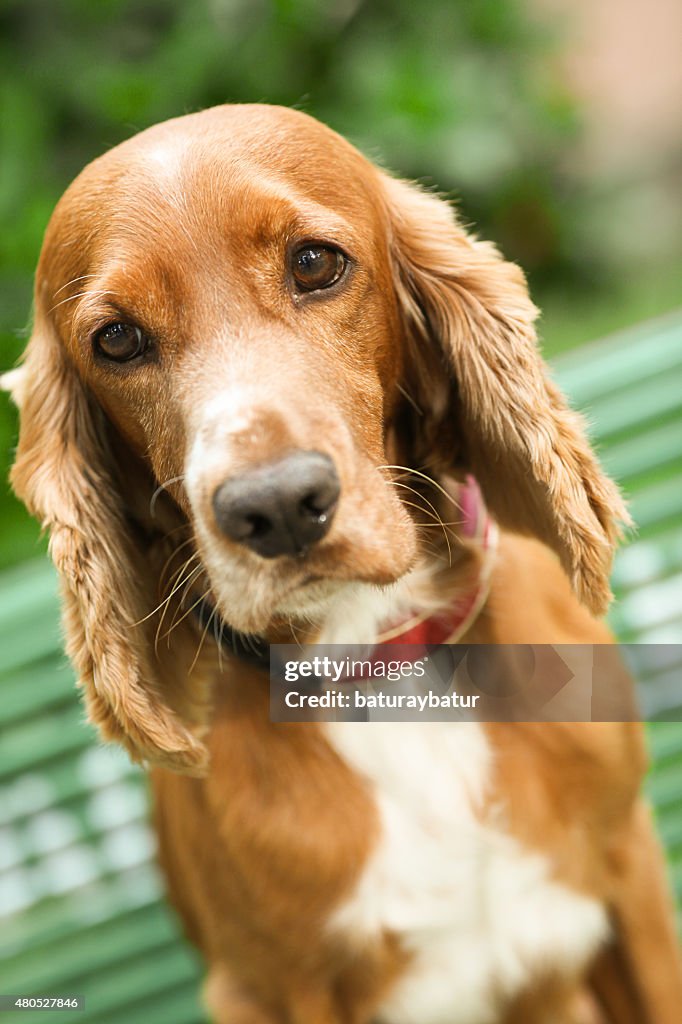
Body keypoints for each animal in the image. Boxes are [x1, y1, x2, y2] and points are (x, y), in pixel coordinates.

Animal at [5, 105, 679, 1024]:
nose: (280, 505)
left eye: (314, 263)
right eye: (117, 340)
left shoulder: (630, 870)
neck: (376, 656)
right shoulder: (272, 987)